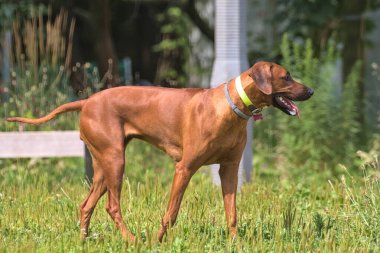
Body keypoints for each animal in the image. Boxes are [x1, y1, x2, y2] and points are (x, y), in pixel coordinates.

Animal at [7, 60, 314, 241]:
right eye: (287, 77)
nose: (311, 91)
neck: (230, 107)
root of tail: (86, 101)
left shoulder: (229, 169)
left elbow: (232, 213)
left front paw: (235, 244)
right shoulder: (184, 168)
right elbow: (172, 212)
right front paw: (158, 241)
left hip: (102, 166)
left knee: (86, 205)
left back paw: (83, 240)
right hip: (115, 161)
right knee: (112, 206)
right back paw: (132, 241)